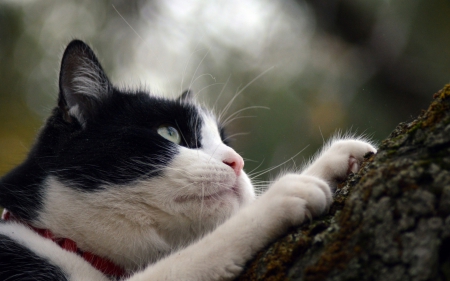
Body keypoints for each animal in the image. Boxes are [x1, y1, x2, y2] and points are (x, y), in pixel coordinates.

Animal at [0, 40, 376, 280]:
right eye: (169, 133)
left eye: (224, 142)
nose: (236, 161)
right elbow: (190, 256)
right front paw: (282, 196)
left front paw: (335, 160)